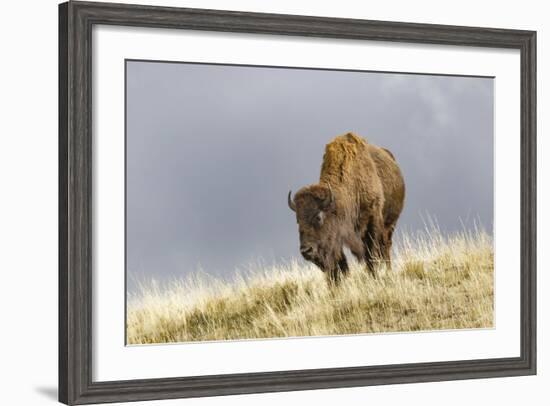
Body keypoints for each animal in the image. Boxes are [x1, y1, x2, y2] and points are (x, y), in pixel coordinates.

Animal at [288, 132, 406, 282]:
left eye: (319, 217)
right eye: (298, 220)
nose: (306, 251)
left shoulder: (372, 219)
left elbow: (371, 252)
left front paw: (373, 275)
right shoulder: (337, 236)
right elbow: (340, 262)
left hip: (390, 224)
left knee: (385, 246)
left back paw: (387, 270)